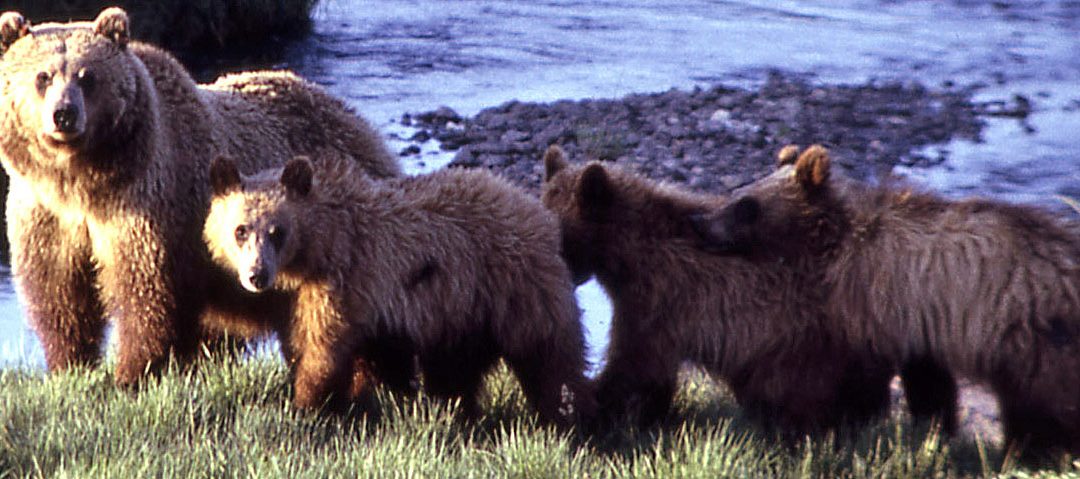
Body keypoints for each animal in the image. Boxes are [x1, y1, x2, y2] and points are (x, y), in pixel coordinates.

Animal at [0, 8, 402, 387]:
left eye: (87, 76)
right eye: (42, 76)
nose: (64, 114)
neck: (81, 182)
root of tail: (360, 123)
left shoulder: (146, 205)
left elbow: (144, 290)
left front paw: (130, 374)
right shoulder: (46, 214)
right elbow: (58, 292)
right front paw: (68, 365)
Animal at [203, 154, 596, 425]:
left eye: (276, 231)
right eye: (241, 230)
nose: (256, 275)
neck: (316, 250)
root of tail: (537, 213)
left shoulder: (347, 283)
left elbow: (324, 350)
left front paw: (307, 404)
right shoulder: (311, 301)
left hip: (515, 287)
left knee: (550, 357)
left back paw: (568, 415)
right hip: (464, 310)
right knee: (456, 366)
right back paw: (457, 409)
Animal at [540, 145, 897, 436]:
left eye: (561, 235)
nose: (563, 277)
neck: (626, 257)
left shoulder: (660, 301)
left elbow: (633, 364)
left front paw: (595, 407)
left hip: (802, 345)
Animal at [691, 144, 1080, 455]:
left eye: (746, 206)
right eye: (736, 191)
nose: (700, 222)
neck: (831, 240)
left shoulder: (873, 297)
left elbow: (861, 373)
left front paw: (850, 420)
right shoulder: (917, 321)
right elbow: (928, 381)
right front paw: (932, 429)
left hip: (1033, 333)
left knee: (1044, 402)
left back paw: (1035, 450)